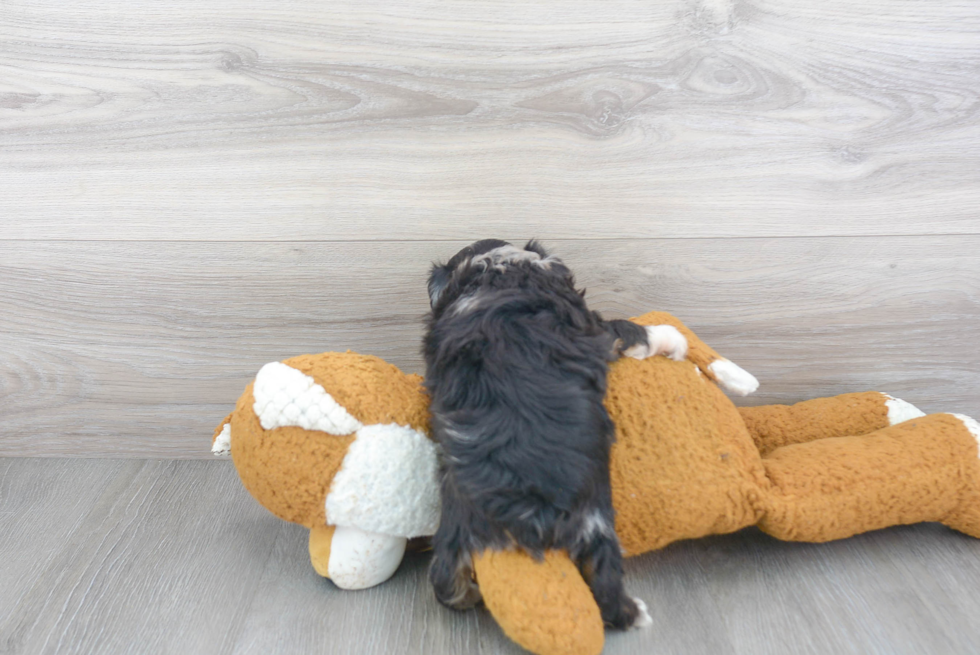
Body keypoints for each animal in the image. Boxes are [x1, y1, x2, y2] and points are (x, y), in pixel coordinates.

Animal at [424, 240, 684, 632]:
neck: (495, 275)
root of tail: (525, 510)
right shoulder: (597, 329)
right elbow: (631, 329)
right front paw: (673, 339)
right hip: (597, 519)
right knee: (606, 582)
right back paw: (635, 613)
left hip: (458, 522)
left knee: (444, 578)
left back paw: (468, 594)